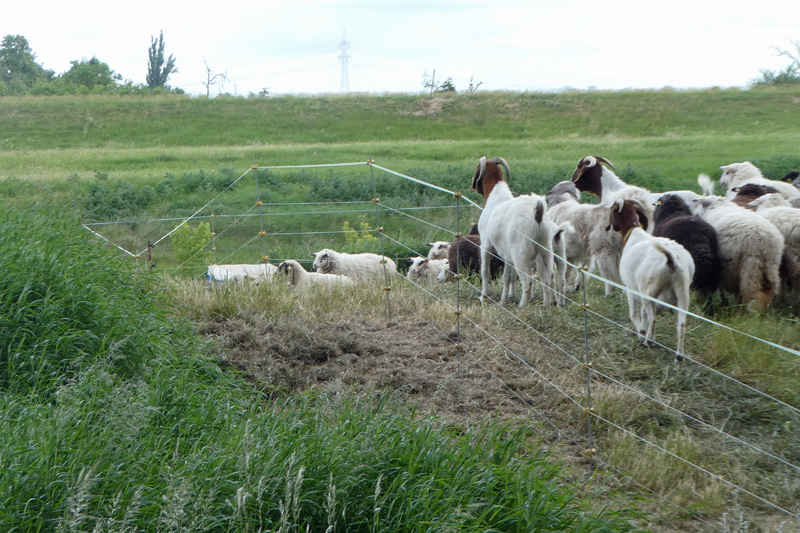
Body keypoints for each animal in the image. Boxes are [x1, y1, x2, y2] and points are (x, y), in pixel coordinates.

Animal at [471, 156, 559, 306]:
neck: (496, 195)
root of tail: (538, 212)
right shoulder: (507, 254)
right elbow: (508, 276)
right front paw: (506, 298)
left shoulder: (486, 245)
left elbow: (485, 272)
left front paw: (484, 297)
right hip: (545, 248)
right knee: (550, 276)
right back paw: (549, 303)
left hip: (521, 253)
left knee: (527, 280)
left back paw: (523, 306)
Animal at [609, 199, 695, 361]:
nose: (610, 226)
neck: (633, 233)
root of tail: (672, 261)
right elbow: (643, 314)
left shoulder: (630, 289)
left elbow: (634, 314)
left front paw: (641, 332)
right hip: (682, 293)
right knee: (681, 324)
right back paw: (679, 355)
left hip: (649, 291)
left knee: (653, 318)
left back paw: (649, 340)